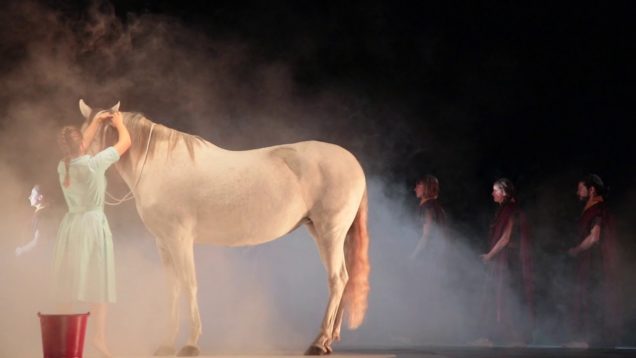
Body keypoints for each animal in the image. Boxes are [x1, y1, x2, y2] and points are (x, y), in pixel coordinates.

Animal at [77, 100, 370, 356]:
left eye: (101, 130)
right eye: (83, 130)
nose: (80, 164)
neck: (159, 164)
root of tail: (354, 162)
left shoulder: (180, 239)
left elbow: (190, 284)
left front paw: (191, 344)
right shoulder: (163, 242)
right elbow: (172, 289)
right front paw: (166, 344)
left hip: (330, 233)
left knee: (337, 279)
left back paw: (319, 342)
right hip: (325, 233)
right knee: (344, 279)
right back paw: (329, 340)